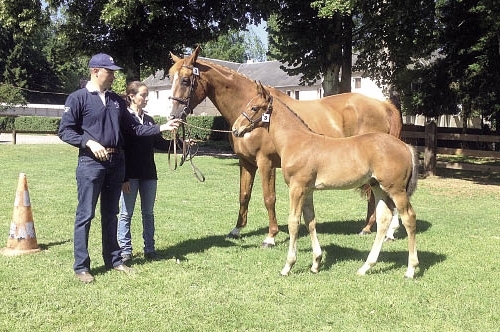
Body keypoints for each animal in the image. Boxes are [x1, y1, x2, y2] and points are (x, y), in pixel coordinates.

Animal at [232, 82, 420, 278]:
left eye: (254, 107)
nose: (235, 129)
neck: (296, 141)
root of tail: (405, 146)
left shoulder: (297, 188)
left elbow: (293, 222)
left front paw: (288, 265)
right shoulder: (307, 191)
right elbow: (310, 221)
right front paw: (316, 262)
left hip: (396, 189)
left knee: (409, 218)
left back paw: (410, 269)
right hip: (378, 187)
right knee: (384, 219)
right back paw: (366, 266)